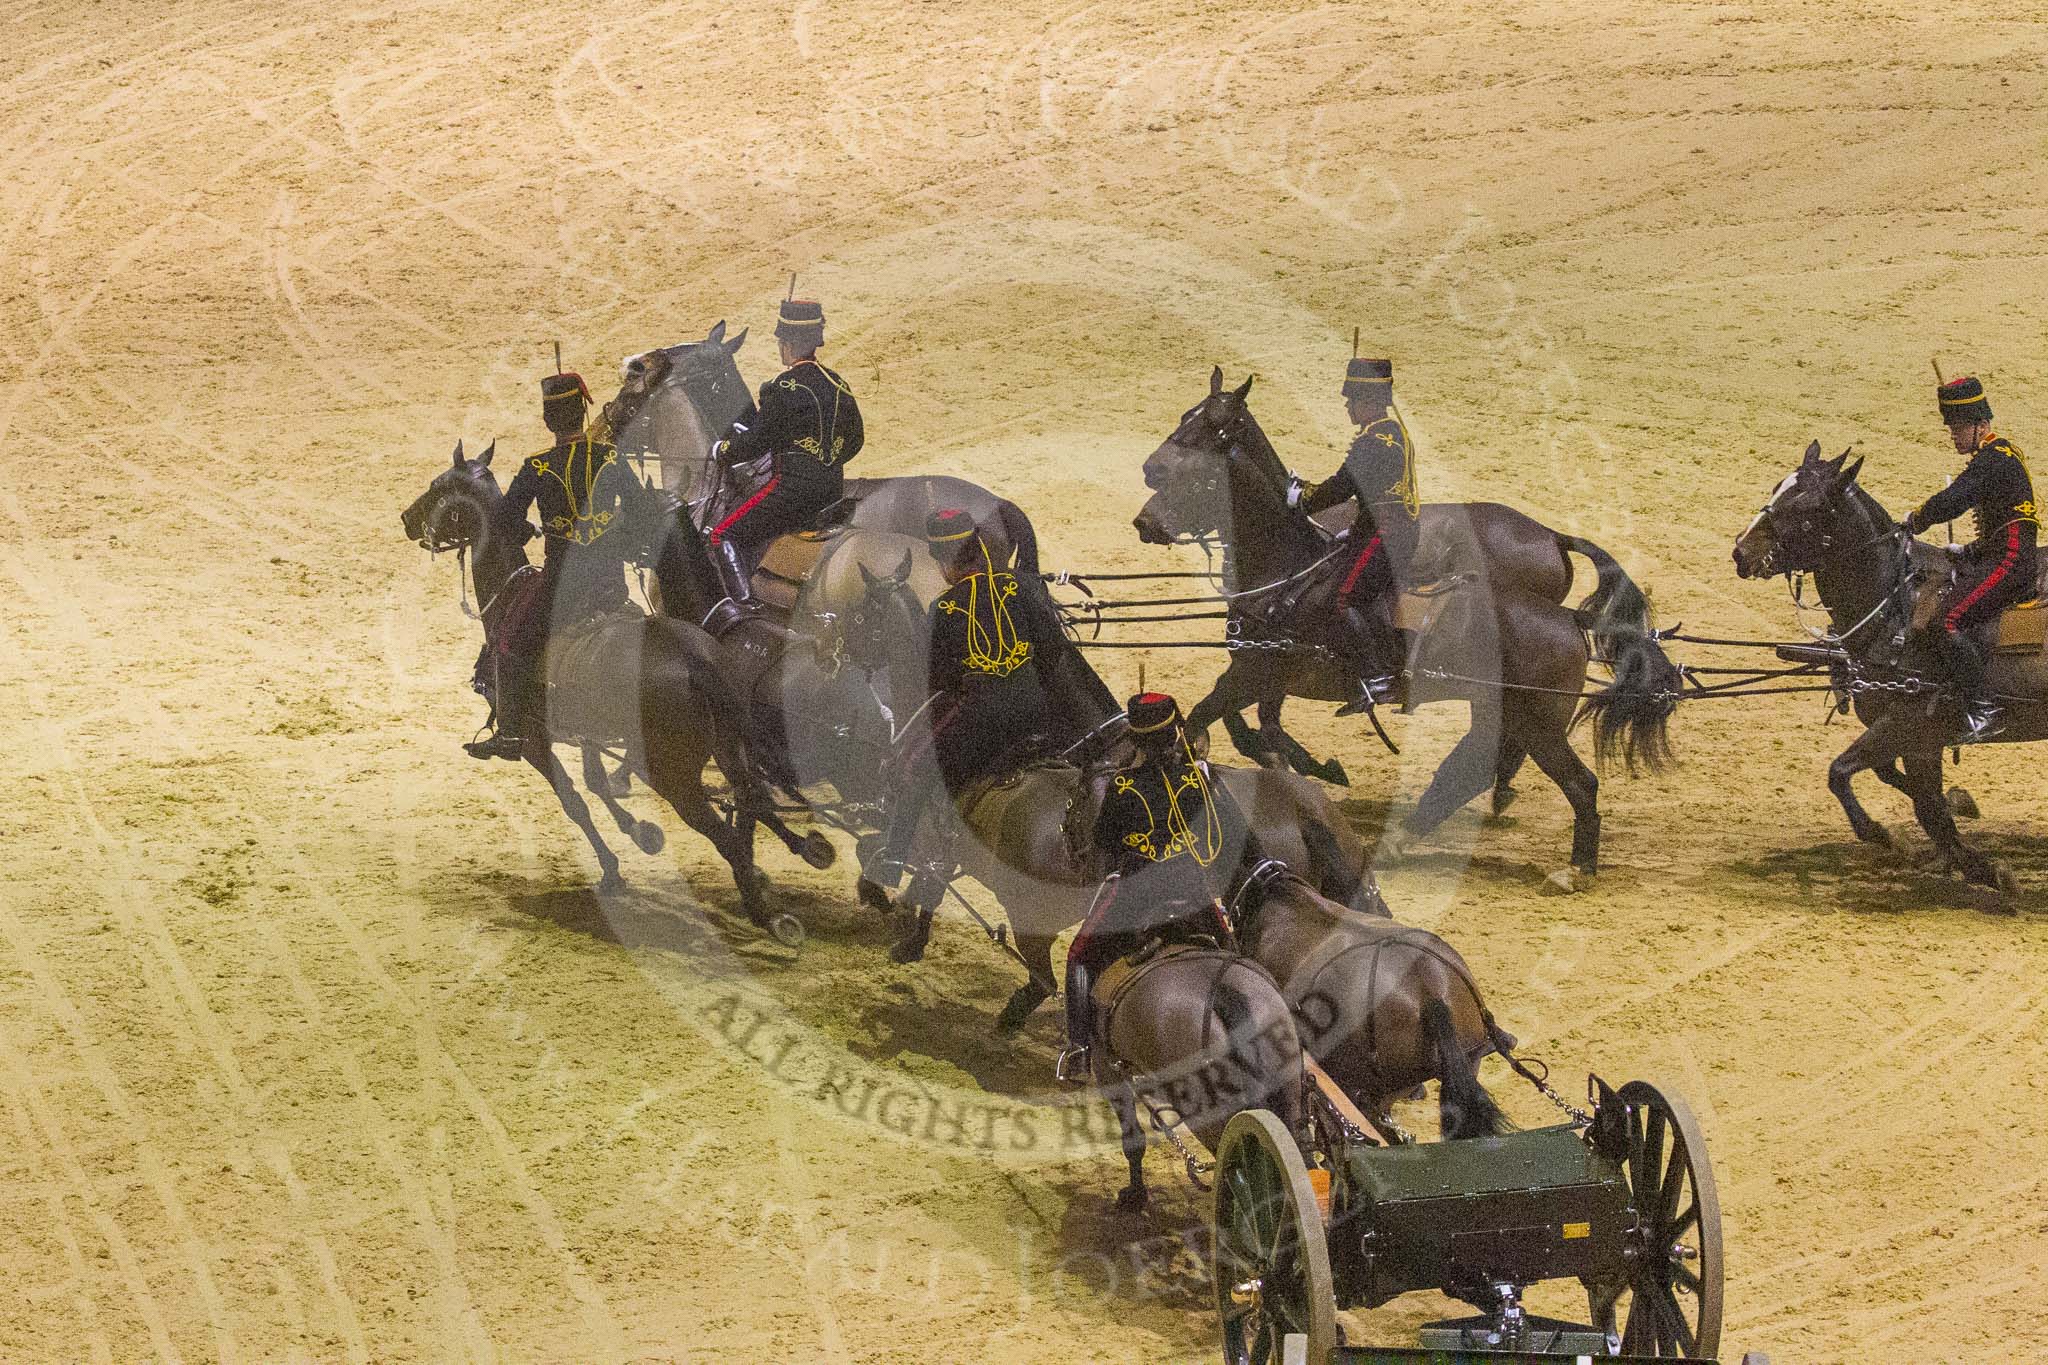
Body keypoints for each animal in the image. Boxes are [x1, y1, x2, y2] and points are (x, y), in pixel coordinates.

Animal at [399, 439, 815, 941]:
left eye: (438, 485)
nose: (406, 518)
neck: (510, 594)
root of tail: (696, 661)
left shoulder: (533, 740)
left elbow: (574, 801)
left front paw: (614, 865)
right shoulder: (586, 733)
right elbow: (597, 783)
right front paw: (639, 832)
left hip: (675, 778)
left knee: (727, 837)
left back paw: (766, 913)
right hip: (729, 750)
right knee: (751, 798)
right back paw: (800, 853)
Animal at [1138, 368, 1679, 892]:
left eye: (1209, 430)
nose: (1145, 512)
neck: (1291, 568)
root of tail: (1568, 614)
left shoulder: (1254, 674)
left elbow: (1210, 720)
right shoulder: (1266, 676)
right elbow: (1252, 728)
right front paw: (1304, 769)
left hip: (1537, 721)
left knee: (1570, 781)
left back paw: (1573, 866)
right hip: (1500, 709)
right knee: (1476, 765)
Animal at [1728, 446, 2048, 896]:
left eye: (1808, 506)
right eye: (1778, 488)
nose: (1742, 551)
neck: (1894, 607)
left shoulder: (1910, 726)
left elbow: (1847, 775)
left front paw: (1891, 838)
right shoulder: (1914, 740)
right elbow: (1923, 802)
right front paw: (1966, 847)